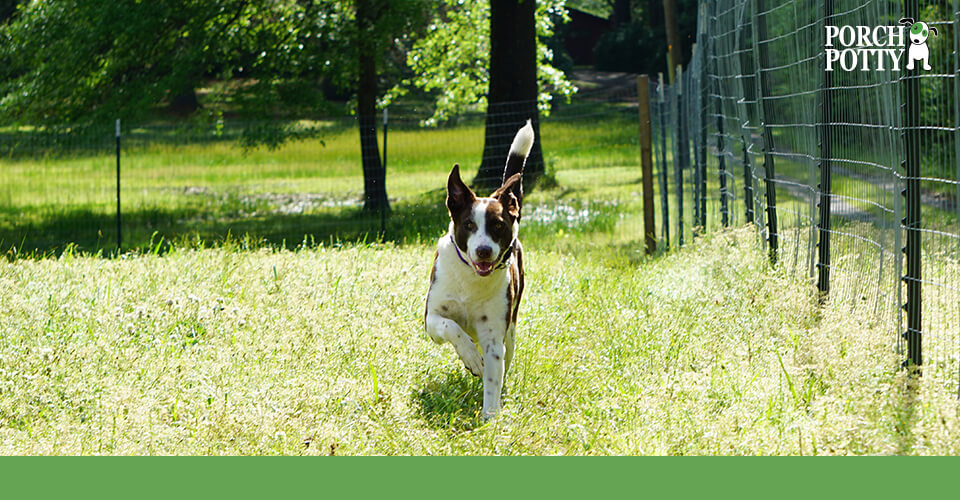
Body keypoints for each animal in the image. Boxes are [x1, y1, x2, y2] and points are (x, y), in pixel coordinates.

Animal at [426, 120, 536, 418]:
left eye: (497, 225)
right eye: (468, 225)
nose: (484, 251)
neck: (471, 279)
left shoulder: (494, 336)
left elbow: (493, 375)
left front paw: (490, 418)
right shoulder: (431, 319)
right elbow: (451, 327)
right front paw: (472, 358)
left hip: (511, 330)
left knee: (506, 357)